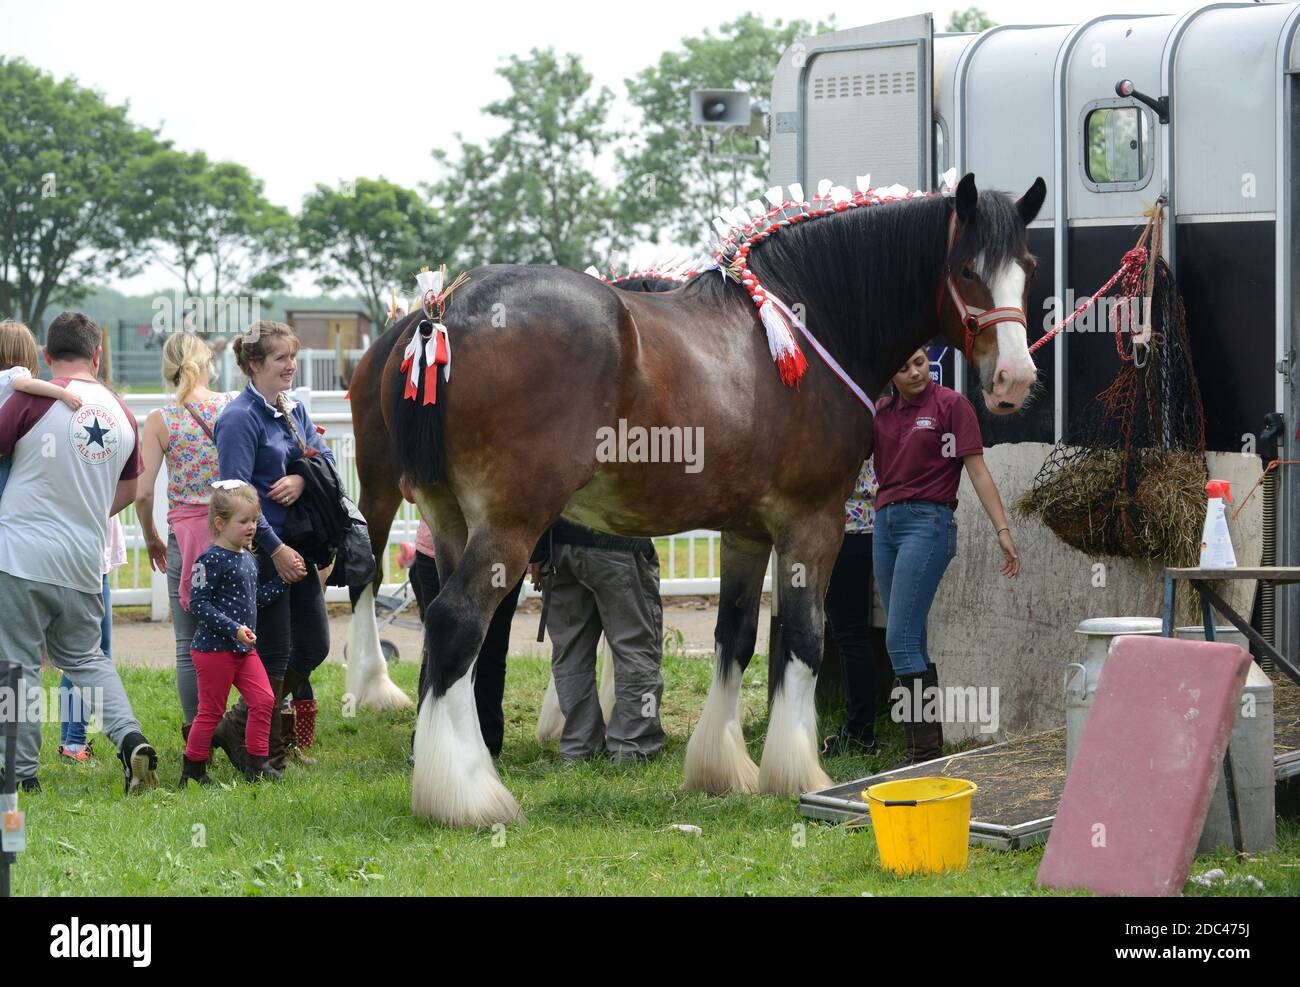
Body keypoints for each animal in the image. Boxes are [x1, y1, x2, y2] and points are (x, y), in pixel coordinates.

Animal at [351, 175, 1040, 827]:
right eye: (967, 269)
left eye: (1027, 268)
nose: (1016, 380)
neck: (806, 327)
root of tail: (443, 313)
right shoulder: (811, 520)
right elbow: (803, 637)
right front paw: (795, 772)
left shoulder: (746, 532)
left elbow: (735, 636)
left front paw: (720, 769)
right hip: (507, 522)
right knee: (454, 622)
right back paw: (468, 798)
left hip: (450, 520)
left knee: (454, 639)